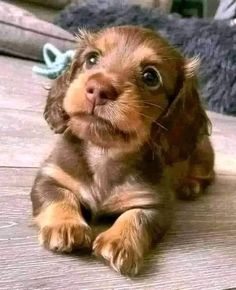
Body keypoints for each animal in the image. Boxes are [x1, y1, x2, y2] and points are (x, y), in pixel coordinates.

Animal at [30, 25, 215, 276]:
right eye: (91, 59)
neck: (104, 153)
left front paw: (120, 242)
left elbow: (136, 217)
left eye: (150, 76)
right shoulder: (50, 176)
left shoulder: (154, 203)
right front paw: (66, 225)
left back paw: (190, 186)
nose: (99, 89)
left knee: (207, 176)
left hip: (203, 155)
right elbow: (58, 196)